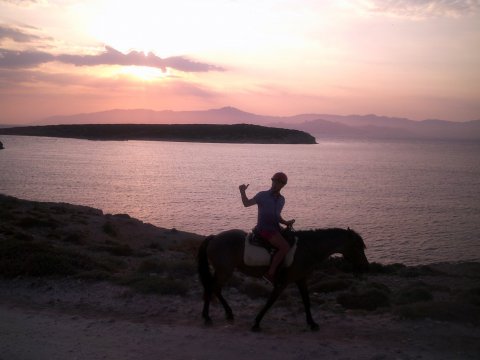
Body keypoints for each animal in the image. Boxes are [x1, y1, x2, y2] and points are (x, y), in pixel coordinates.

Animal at [197, 228, 370, 332]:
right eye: (357, 246)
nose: (365, 266)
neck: (305, 249)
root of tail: (214, 238)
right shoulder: (282, 283)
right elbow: (270, 302)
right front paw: (256, 323)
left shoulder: (301, 280)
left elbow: (307, 301)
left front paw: (312, 323)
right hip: (224, 271)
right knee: (212, 288)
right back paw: (207, 317)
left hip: (223, 271)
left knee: (215, 289)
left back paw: (228, 313)